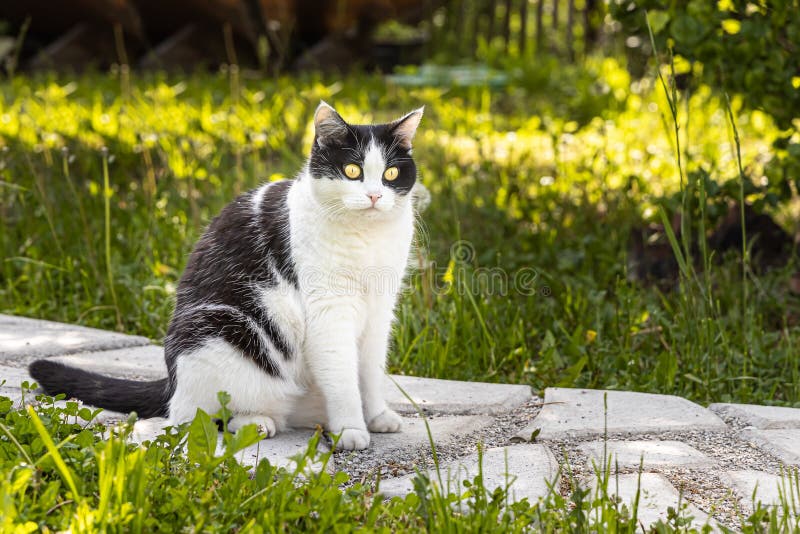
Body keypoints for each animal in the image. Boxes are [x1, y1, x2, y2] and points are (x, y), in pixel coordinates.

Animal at [29, 101, 424, 452]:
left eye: (390, 174)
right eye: (352, 171)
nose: (374, 196)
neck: (366, 238)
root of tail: (171, 380)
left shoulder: (380, 309)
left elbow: (369, 371)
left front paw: (376, 416)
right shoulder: (330, 310)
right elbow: (342, 377)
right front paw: (351, 429)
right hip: (219, 329)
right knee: (197, 415)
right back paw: (256, 422)